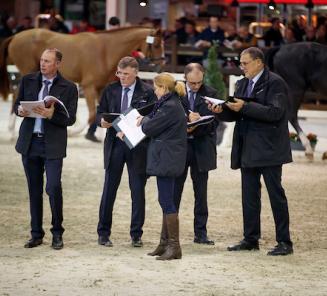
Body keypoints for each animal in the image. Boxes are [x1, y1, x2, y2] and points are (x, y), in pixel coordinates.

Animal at [0, 27, 164, 128]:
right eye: (156, 45)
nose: (161, 65)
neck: (105, 50)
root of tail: (15, 36)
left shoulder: (101, 88)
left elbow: (99, 113)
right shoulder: (89, 86)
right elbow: (91, 116)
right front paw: (74, 132)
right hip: (28, 70)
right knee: (17, 94)